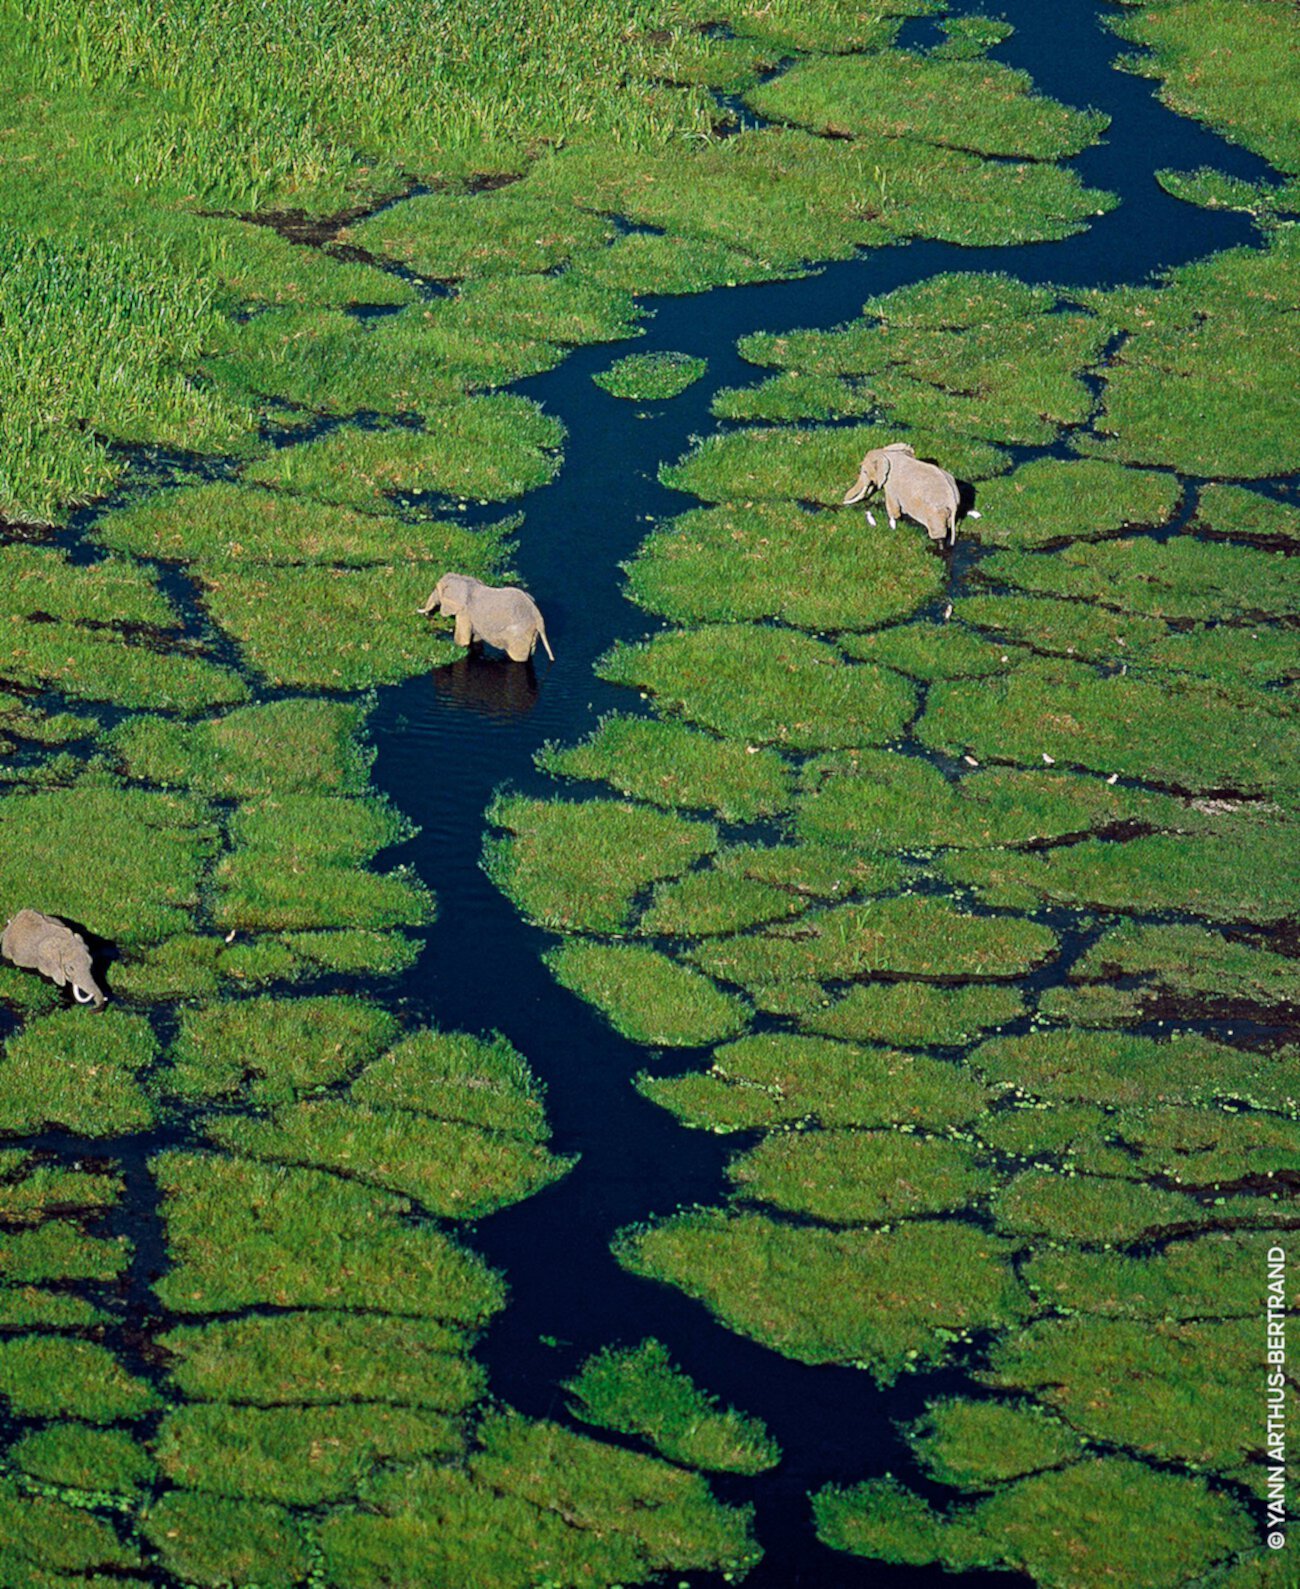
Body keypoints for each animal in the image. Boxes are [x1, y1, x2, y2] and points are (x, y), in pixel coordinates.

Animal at [416, 575, 556, 661]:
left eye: (436, 588)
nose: (426, 615)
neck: (465, 580)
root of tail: (539, 618)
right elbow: (475, 638)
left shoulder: (465, 612)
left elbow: (463, 640)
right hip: (532, 634)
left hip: (519, 635)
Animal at [839, 444, 972, 549]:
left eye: (865, 472)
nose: (842, 501)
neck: (886, 453)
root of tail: (953, 501)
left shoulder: (891, 484)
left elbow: (892, 505)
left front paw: (895, 522)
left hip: (936, 512)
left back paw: (939, 545)